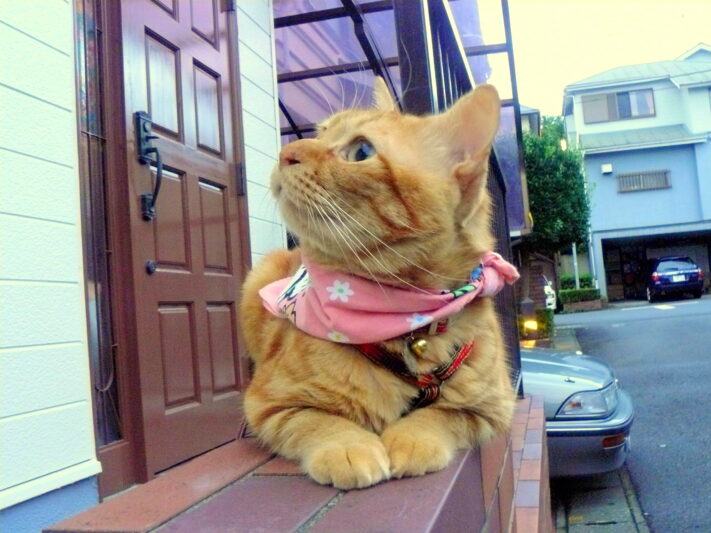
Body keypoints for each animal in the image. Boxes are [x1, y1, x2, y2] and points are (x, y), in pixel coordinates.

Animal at [242, 77, 516, 488]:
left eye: (361, 151)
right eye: (321, 131)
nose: (286, 152)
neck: (406, 325)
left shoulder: (494, 408)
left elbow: (443, 415)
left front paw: (412, 439)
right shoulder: (267, 402)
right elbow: (315, 419)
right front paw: (348, 446)